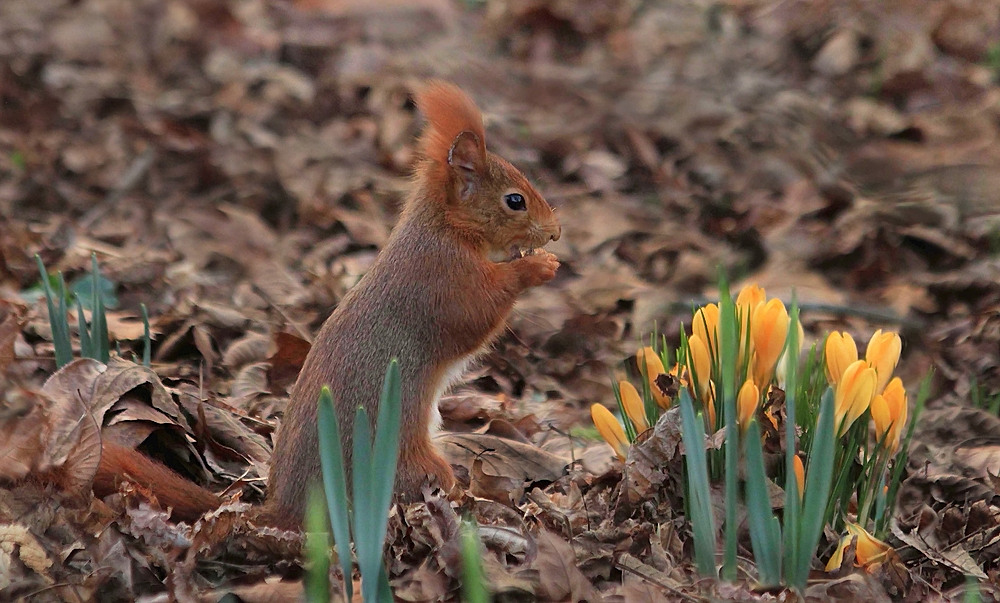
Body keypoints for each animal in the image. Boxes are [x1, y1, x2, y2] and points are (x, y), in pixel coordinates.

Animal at [94, 81, 564, 528]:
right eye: (515, 200)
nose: (555, 233)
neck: (445, 228)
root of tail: (288, 508)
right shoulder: (443, 280)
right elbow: (476, 315)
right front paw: (538, 266)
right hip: (405, 464)